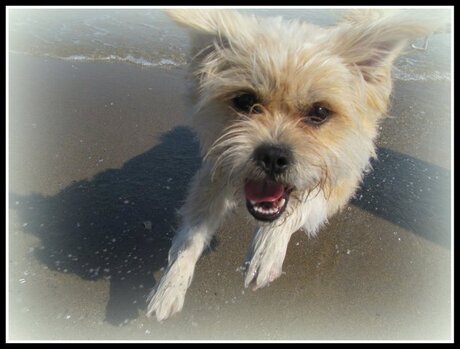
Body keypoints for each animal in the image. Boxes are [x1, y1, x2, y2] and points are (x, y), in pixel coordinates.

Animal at [146, 8, 436, 320]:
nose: (273, 156)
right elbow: (191, 237)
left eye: (320, 112)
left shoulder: (342, 178)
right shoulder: (217, 171)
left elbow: (299, 208)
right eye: (245, 100)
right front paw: (170, 285)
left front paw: (266, 249)